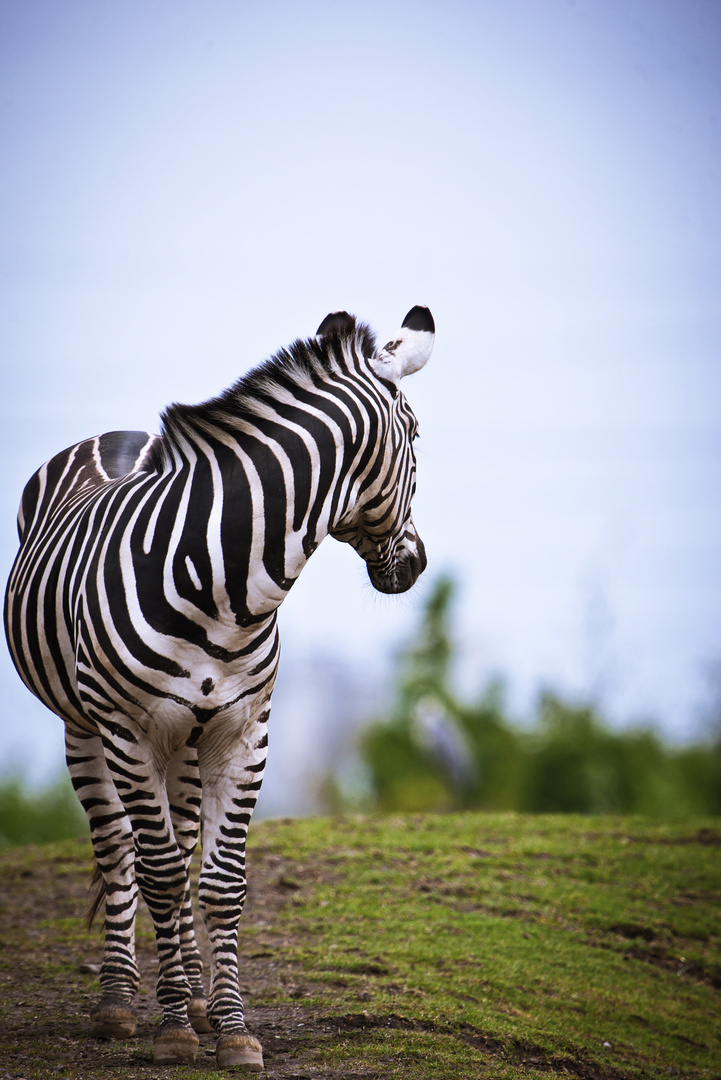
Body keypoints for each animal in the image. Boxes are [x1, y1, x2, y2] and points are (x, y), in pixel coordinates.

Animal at [4, 304, 433, 1071]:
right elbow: (160, 872)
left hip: (186, 735)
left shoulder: (244, 727)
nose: (415, 565)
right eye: (418, 437)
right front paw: (174, 1028)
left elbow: (221, 880)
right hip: (87, 727)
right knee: (120, 850)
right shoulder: (130, 729)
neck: (225, 584)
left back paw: (196, 998)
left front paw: (228, 1026)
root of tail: (119, 435)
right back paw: (121, 1004)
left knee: (179, 839)